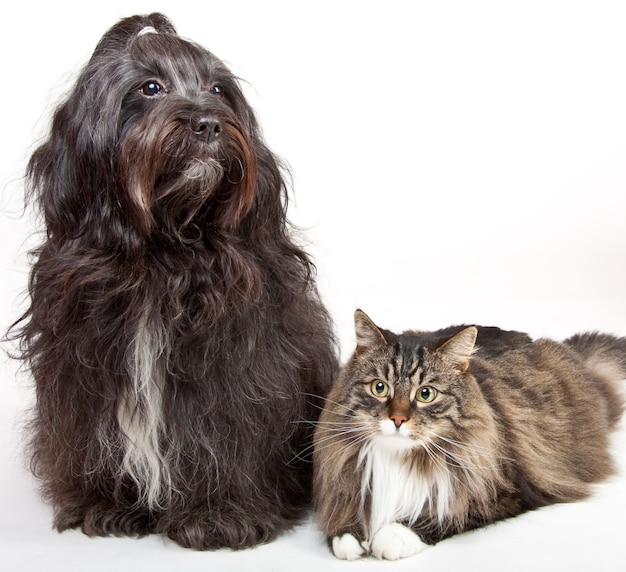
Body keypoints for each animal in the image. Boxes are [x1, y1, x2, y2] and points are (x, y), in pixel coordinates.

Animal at [12, 13, 336, 548]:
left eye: (218, 89)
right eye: (150, 87)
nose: (208, 124)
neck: (162, 257)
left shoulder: (236, 367)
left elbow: (223, 434)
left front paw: (221, 513)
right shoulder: (86, 364)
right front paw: (107, 503)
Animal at [312, 308, 624, 560]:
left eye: (425, 394)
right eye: (380, 388)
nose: (398, 419)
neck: (398, 458)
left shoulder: (506, 490)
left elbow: (445, 514)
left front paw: (393, 535)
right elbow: (346, 508)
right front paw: (346, 534)